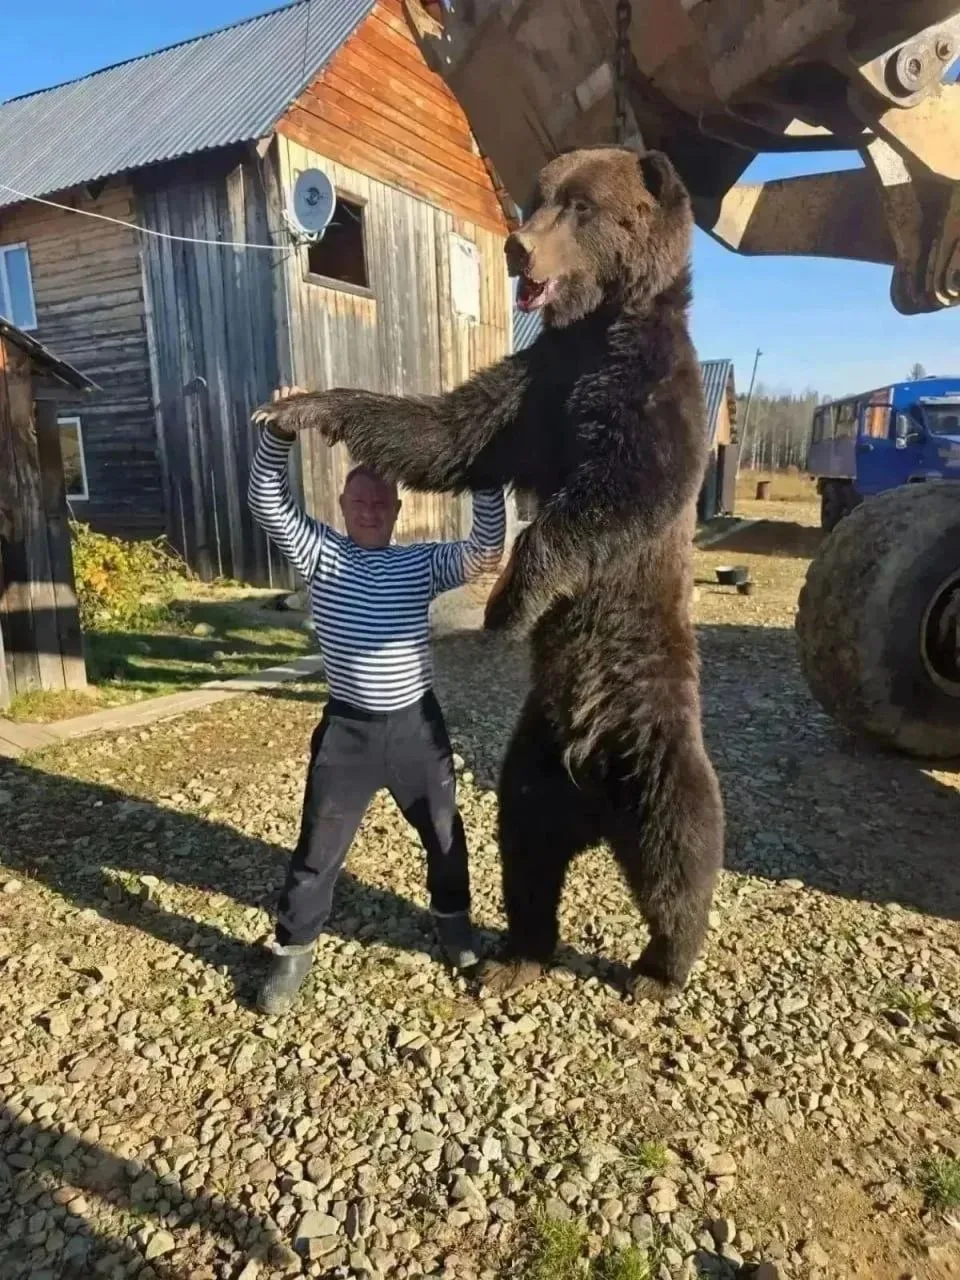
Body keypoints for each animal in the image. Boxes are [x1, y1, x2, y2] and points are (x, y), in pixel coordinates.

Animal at [251, 145, 724, 1002]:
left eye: (581, 206)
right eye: (537, 198)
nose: (516, 246)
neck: (594, 335)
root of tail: (592, 790)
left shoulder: (648, 394)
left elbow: (617, 496)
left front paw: (506, 603)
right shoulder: (534, 390)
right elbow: (445, 431)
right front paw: (298, 406)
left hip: (654, 737)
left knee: (681, 845)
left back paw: (660, 966)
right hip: (532, 761)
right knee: (527, 850)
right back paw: (518, 957)